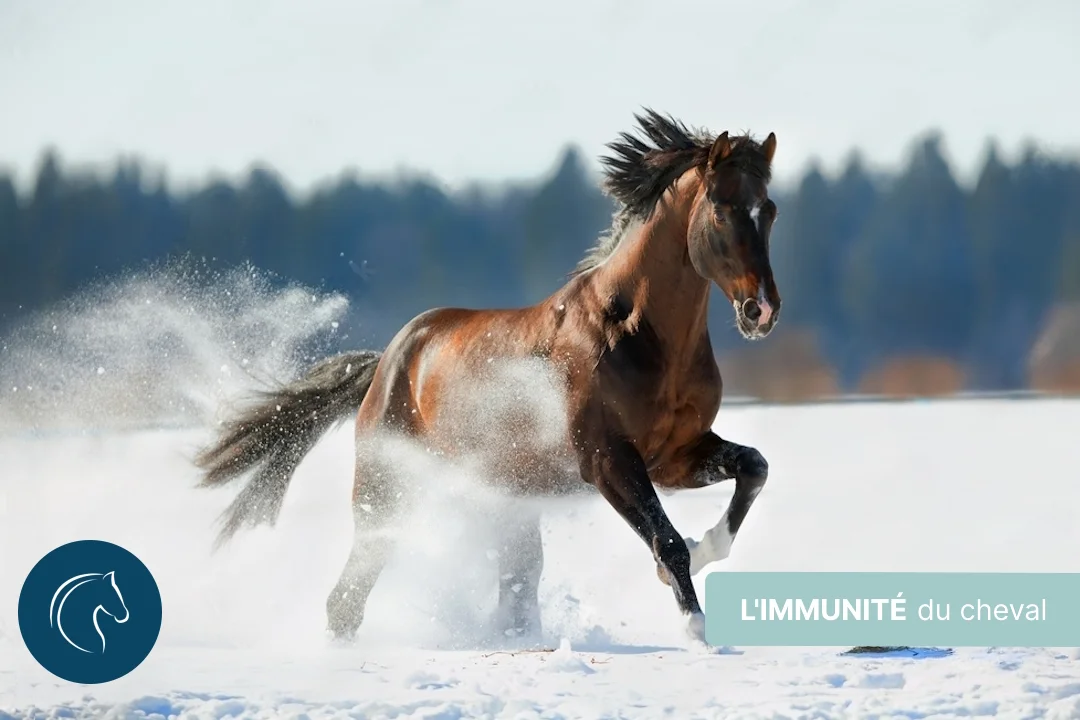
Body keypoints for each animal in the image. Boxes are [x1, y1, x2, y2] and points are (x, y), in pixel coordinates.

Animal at [194, 109, 782, 648]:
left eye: (770, 210)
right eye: (722, 210)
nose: (762, 310)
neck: (633, 332)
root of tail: (388, 362)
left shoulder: (675, 455)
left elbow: (754, 468)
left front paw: (706, 552)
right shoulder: (608, 461)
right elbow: (667, 541)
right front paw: (696, 629)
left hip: (505, 501)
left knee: (513, 586)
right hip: (388, 492)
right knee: (348, 596)